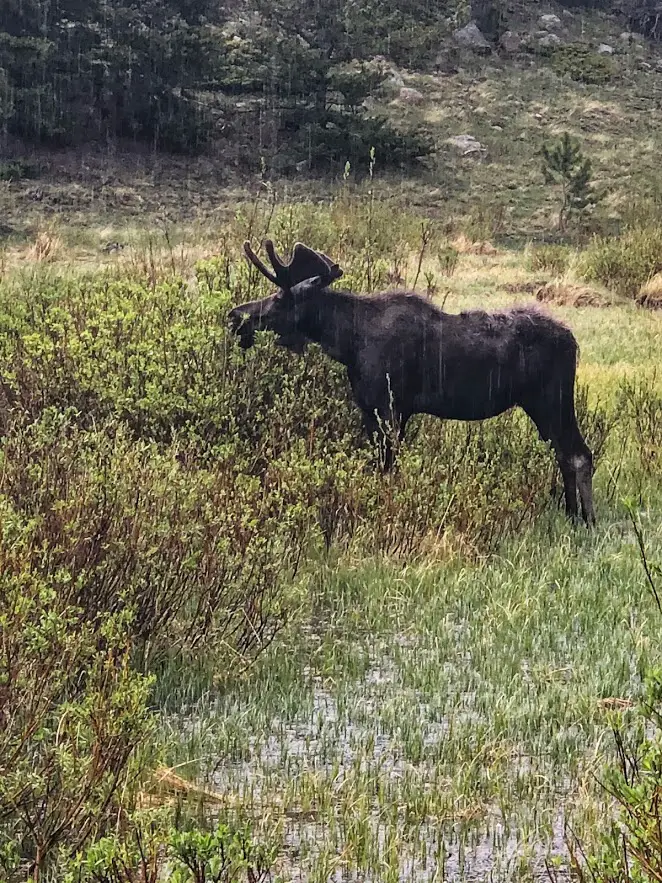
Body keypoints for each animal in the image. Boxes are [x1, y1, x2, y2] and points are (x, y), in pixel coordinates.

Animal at [231, 237, 600, 524]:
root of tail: (574, 342)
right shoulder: (373, 409)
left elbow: (388, 468)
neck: (348, 341)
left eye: (280, 298)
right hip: (540, 406)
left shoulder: (389, 406)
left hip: (552, 401)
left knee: (579, 454)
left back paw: (588, 519)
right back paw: (571, 513)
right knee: (565, 454)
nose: (235, 316)